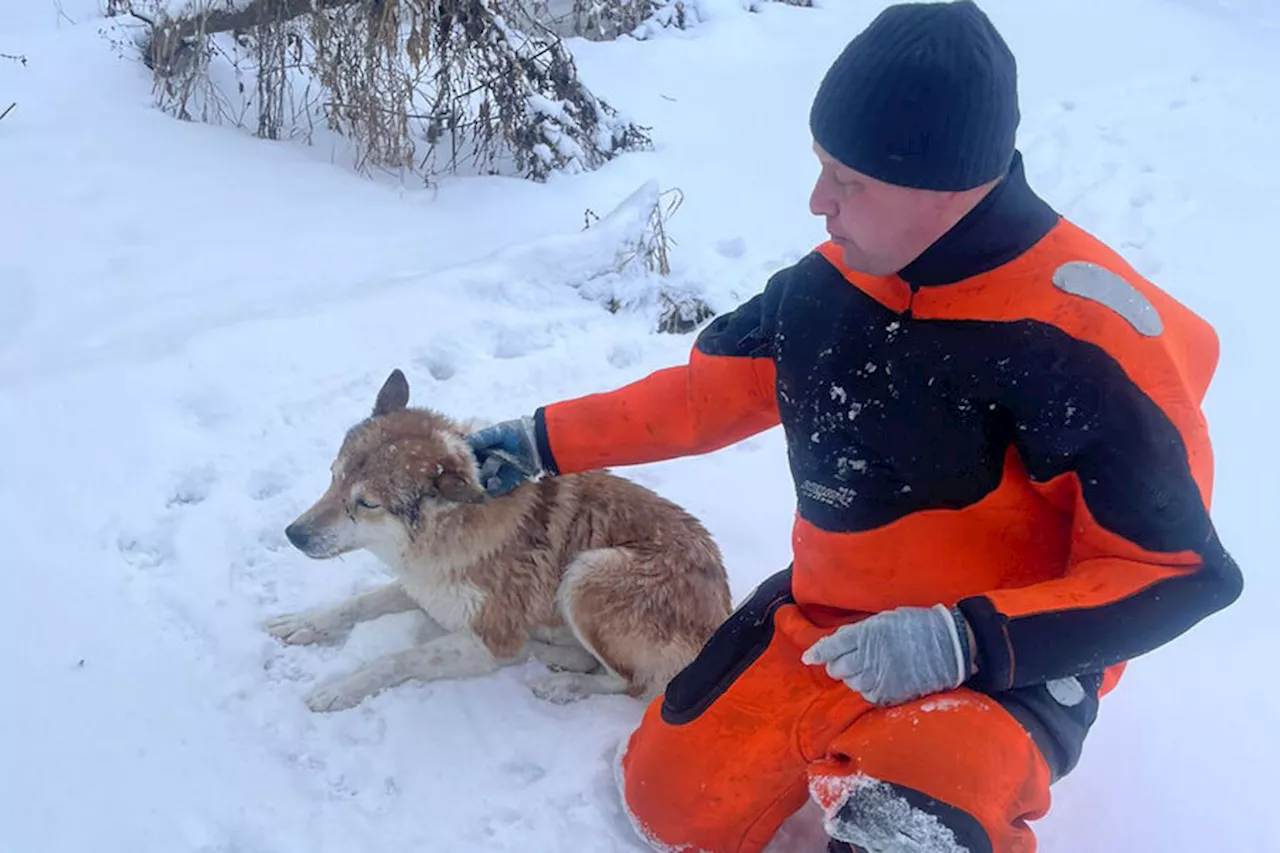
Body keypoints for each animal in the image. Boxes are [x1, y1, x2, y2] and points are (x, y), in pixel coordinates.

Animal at [262, 368, 732, 706]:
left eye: (367, 504)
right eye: (333, 477)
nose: (293, 535)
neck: (444, 537)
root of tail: (722, 618)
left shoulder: (491, 640)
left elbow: (402, 656)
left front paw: (343, 687)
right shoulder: (425, 589)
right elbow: (360, 602)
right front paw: (305, 622)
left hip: (588, 572)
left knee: (633, 683)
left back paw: (561, 682)